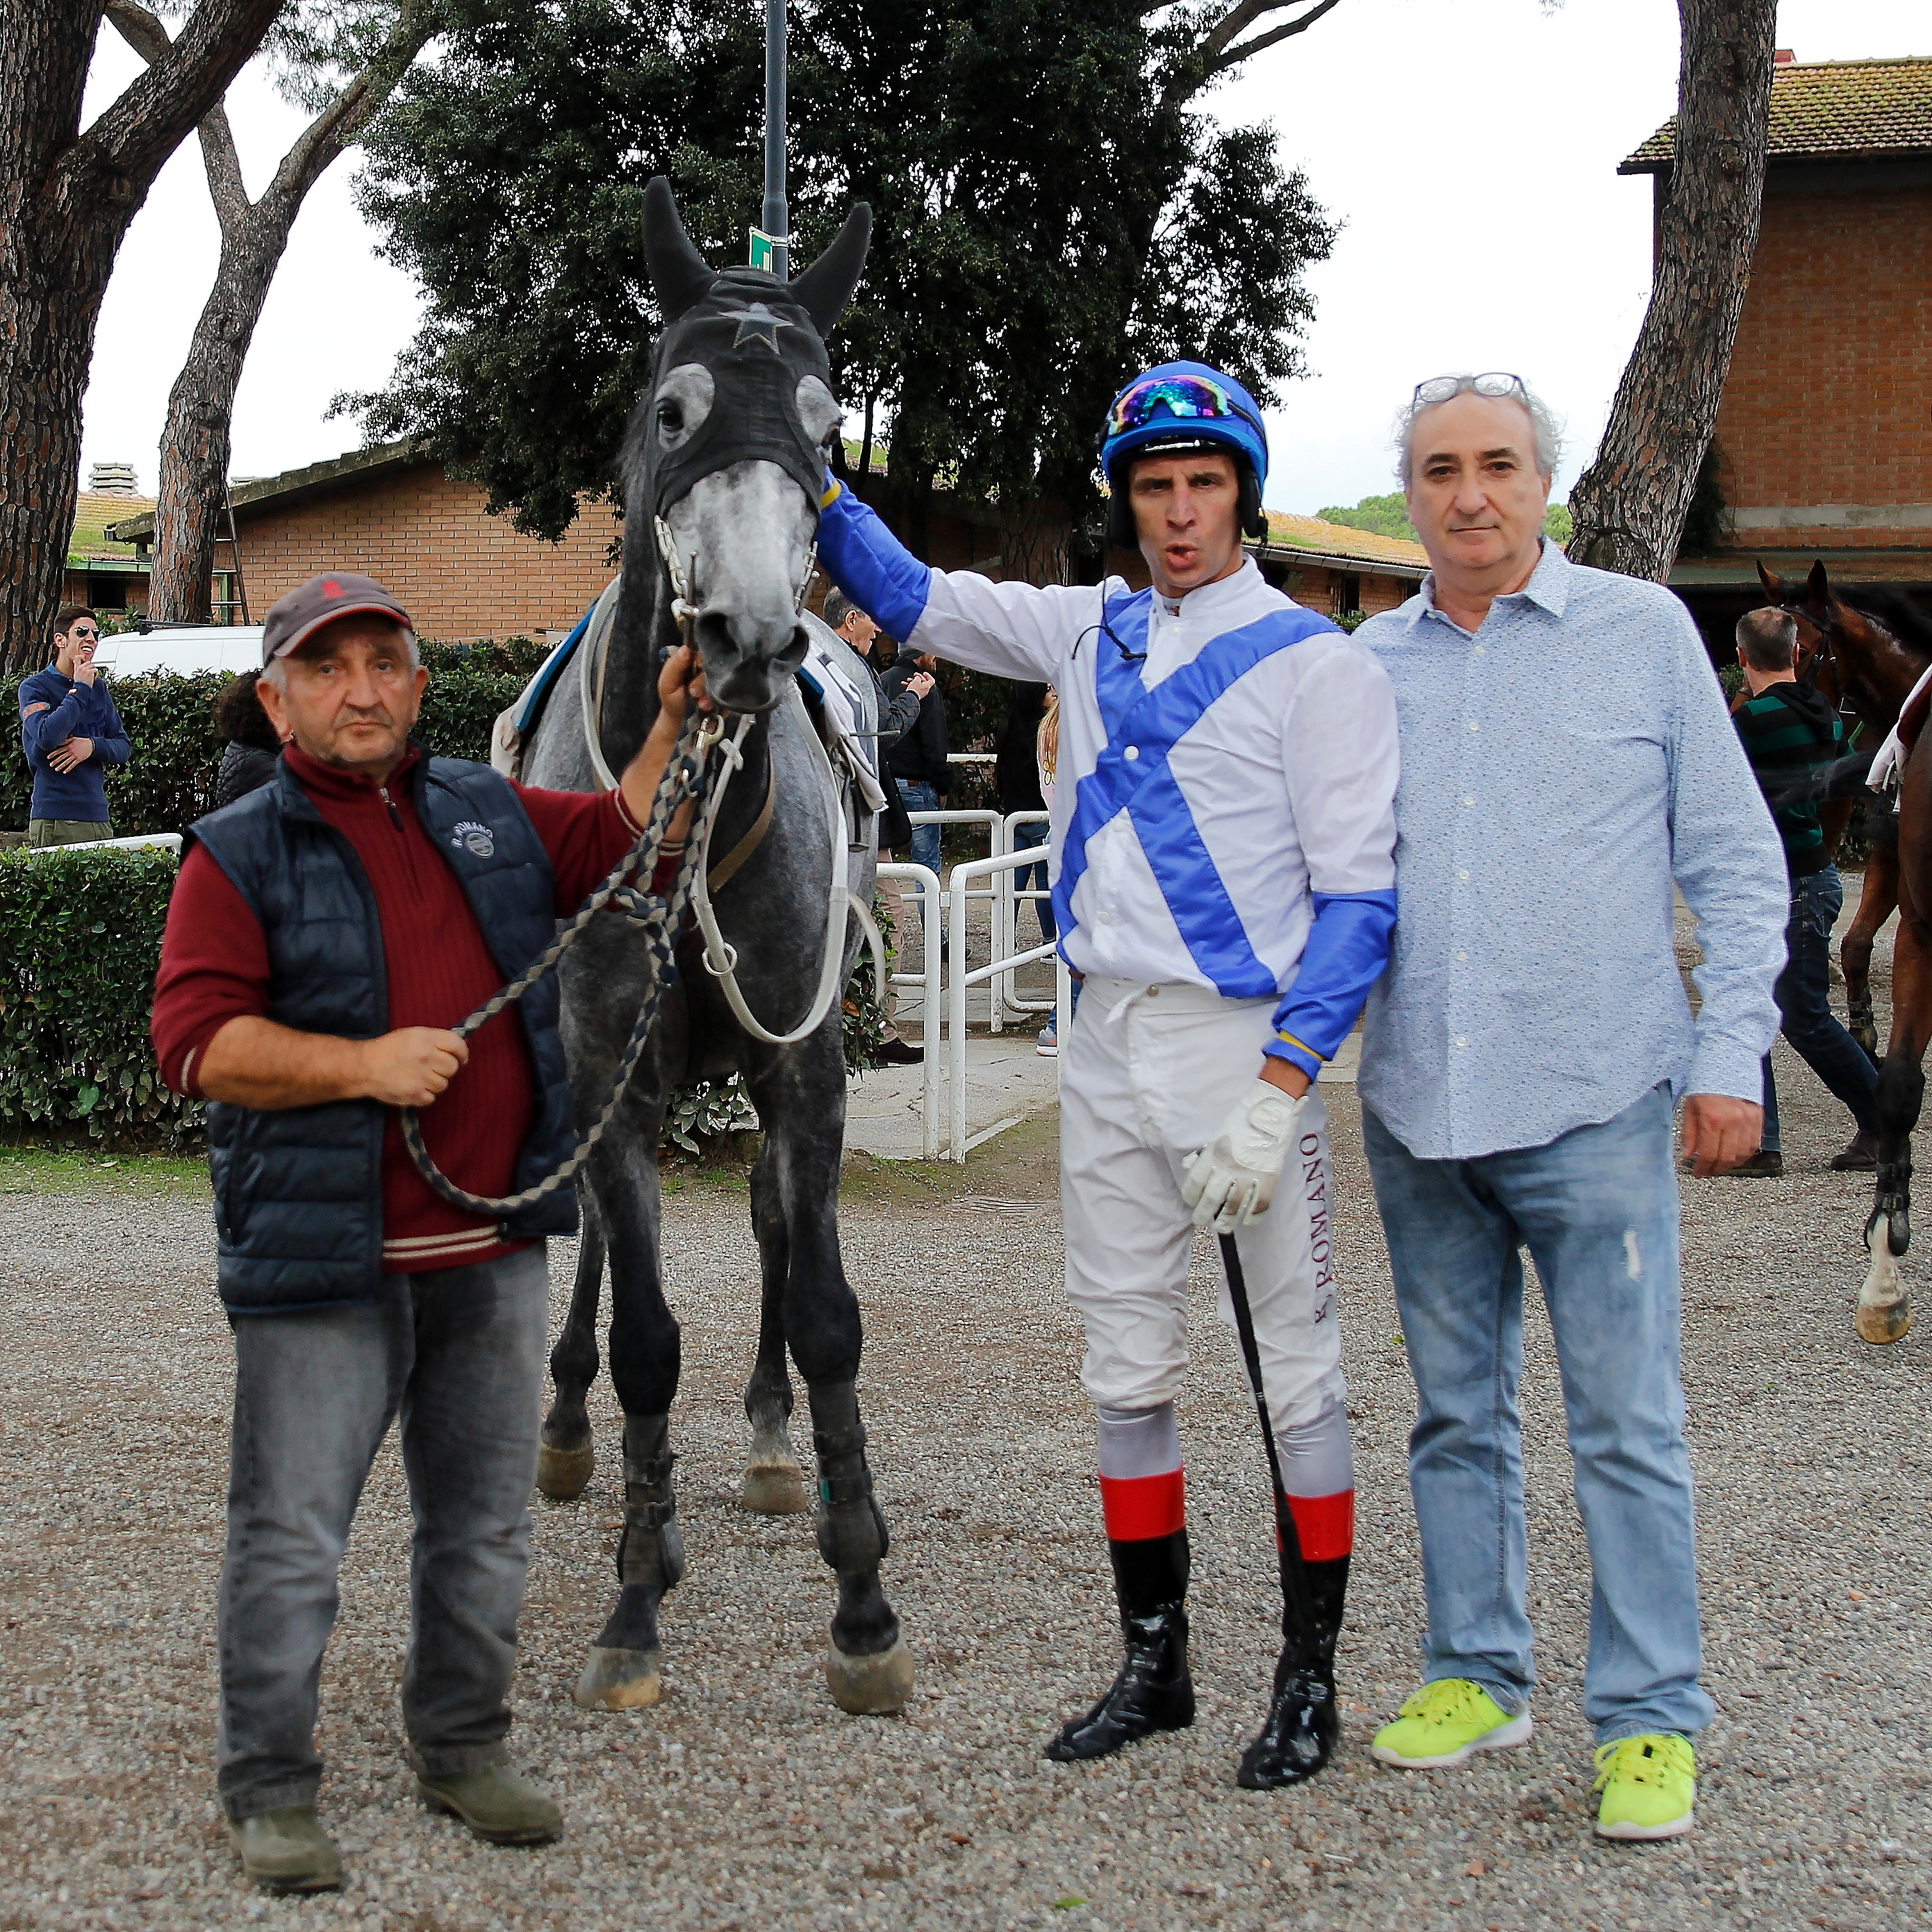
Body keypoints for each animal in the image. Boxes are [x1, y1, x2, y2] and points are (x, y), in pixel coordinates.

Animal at [509, 184, 908, 1723]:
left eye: (823, 420)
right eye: (675, 409)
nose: (748, 635)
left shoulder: (805, 1069)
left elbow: (826, 1303)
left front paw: (862, 1600)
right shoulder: (607, 1068)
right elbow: (644, 1338)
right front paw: (635, 1597)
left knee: (773, 1230)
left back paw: (770, 1442)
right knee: (603, 1263)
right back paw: (571, 1429)